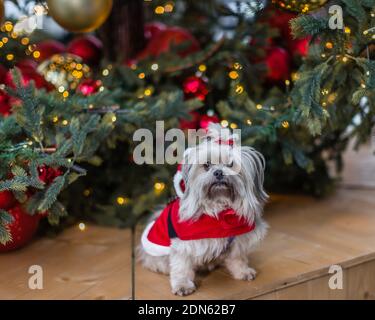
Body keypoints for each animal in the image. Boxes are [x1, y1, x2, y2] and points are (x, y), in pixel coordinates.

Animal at [140, 124, 268, 296]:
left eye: (230, 164)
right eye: (206, 165)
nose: (219, 172)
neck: (219, 210)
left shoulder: (237, 241)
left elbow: (237, 257)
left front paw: (242, 271)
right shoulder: (183, 245)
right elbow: (181, 267)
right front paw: (182, 285)